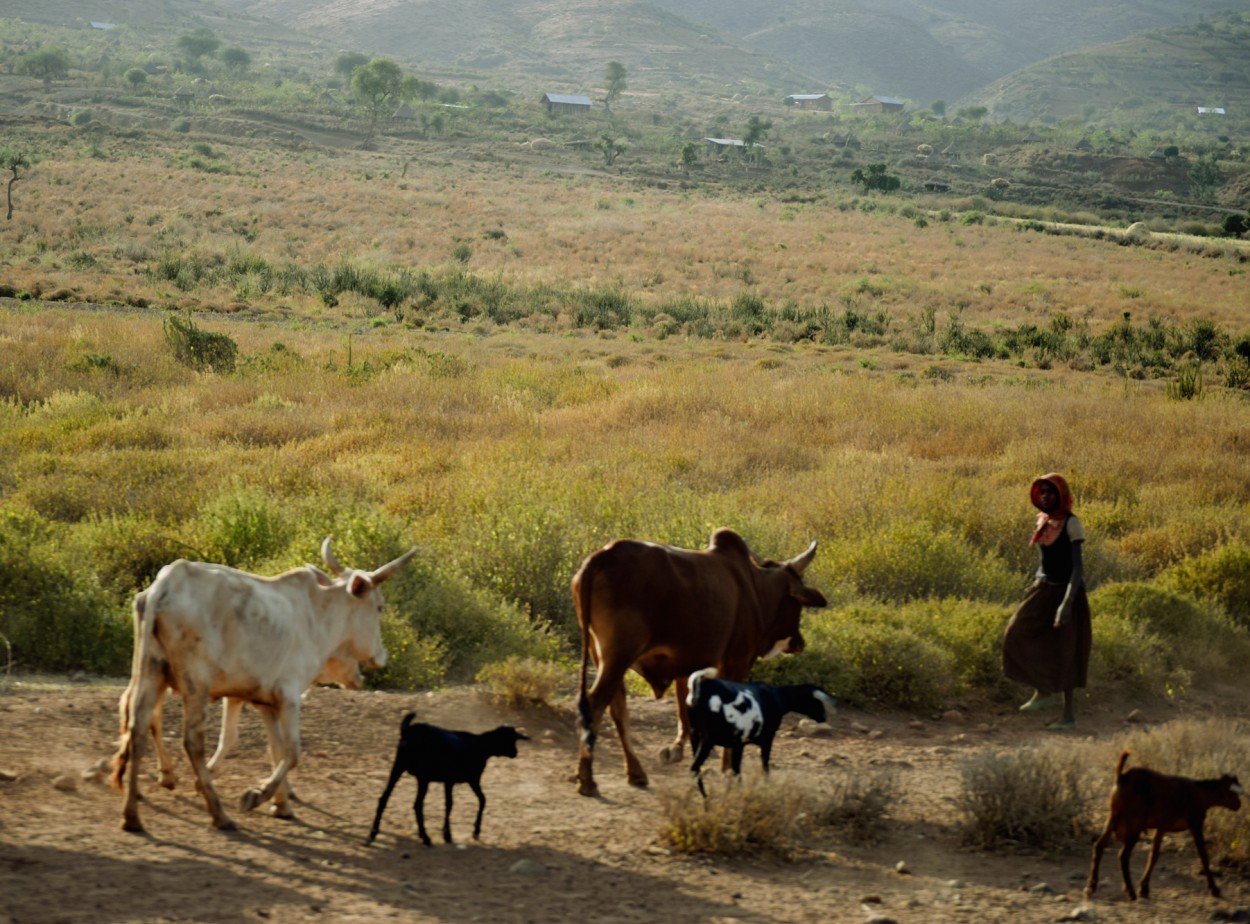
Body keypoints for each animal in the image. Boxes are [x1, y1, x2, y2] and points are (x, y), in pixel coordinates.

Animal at [112, 537, 415, 835]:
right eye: (379, 607)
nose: (381, 656)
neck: (318, 617)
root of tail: (165, 584)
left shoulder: (265, 702)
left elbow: (276, 750)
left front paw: (282, 805)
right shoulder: (289, 697)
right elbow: (292, 752)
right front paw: (258, 795)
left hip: (151, 671)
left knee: (137, 728)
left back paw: (132, 815)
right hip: (195, 683)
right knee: (192, 742)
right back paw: (218, 814)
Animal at [367, 715, 530, 845]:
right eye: (510, 740)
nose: (515, 753)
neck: (481, 747)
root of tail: (408, 731)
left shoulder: (452, 781)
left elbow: (470, 801)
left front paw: (462, 832)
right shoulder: (467, 779)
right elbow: (457, 803)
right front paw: (453, 834)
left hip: (399, 766)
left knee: (384, 798)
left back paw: (373, 833)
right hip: (422, 775)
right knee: (417, 804)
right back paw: (425, 837)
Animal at [685, 670, 840, 800]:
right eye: (817, 702)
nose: (823, 718)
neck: (776, 697)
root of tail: (698, 690)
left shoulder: (738, 744)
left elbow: (736, 770)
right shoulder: (767, 740)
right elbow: (764, 766)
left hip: (695, 737)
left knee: (696, 770)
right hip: (707, 740)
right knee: (694, 768)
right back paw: (706, 800)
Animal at [1085, 750, 1240, 900]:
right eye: (1232, 792)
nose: (1239, 805)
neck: (1200, 793)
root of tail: (1122, 777)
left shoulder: (1162, 827)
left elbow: (1153, 856)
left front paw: (1144, 888)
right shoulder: (1195, 824)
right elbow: (1203, 855)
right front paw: (1215, 889)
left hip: (1112, 817)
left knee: (1099, 846)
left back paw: (1091, 887)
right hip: (1134, 824)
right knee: (1123, 856)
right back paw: (1130, 892)